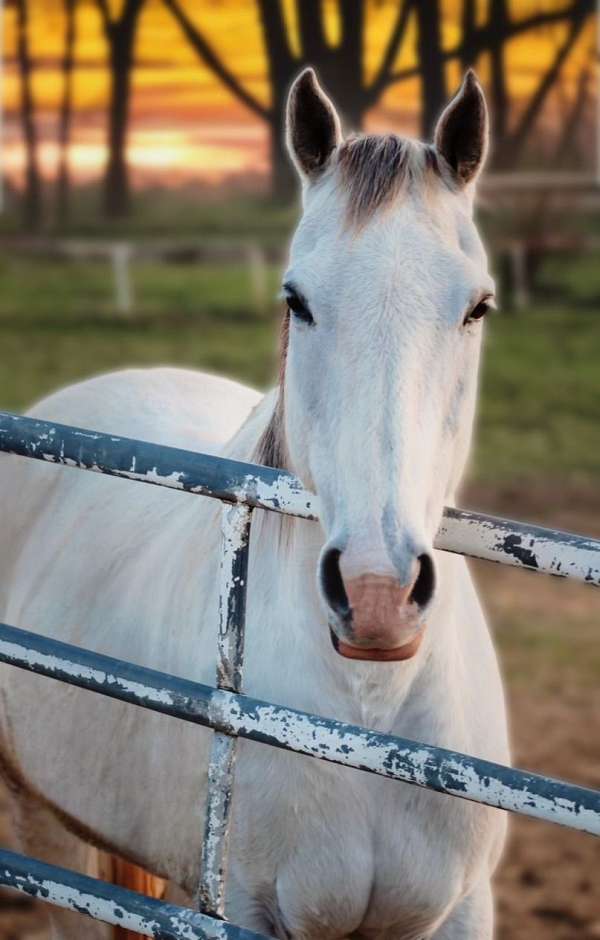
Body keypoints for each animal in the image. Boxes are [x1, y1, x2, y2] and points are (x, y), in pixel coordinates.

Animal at [0, 70, 506, 936]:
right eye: (296, 300)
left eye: (477, 306)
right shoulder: (244, 909)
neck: (366, 720)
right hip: (47, 827)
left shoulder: (462, 910)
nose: (378, 595)